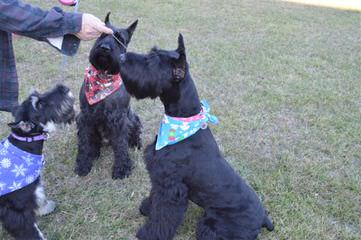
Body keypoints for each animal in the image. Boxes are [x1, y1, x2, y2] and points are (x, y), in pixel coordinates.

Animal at [0, 84, 74, 240]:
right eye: (39, 105)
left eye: (37, 94)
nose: (63, 87)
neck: (23, 146)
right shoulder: (17, 208)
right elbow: (29, 229)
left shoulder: (34, 187)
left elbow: (39, 199)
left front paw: (46, 208)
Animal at [74, 12, 141, 179]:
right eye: (102, 35)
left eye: (120, 39)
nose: (104, 48)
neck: (103, 78)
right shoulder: (85, 117)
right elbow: (85, 142)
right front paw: (83, 164)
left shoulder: (119, 120)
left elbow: (121, 145)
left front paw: (122, 169)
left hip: (133, 118)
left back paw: (136, 143)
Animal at [118, 34, 272, 240]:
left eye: (151, 61)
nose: (121, 57)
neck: (182, 122)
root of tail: (263, 219)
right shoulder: (160, 180)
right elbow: (154, 197)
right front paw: (147, 208)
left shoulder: (171, 189)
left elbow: (162, 215)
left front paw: (149, 234)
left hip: (210, 227)